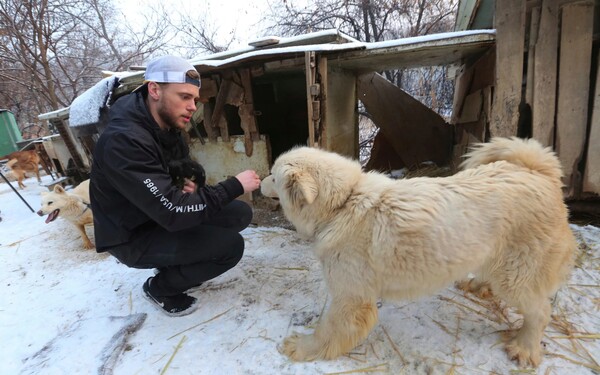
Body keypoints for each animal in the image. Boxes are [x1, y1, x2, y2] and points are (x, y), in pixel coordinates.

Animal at [260, 137, 576, 368]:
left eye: (273, 176)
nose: (258, 179)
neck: (344, 203)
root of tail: (537, 171)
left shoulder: (350, 298)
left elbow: (327, 330)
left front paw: (302, 347)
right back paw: (477, 286)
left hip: (516, 275)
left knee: (540, 312)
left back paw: (524, 347)